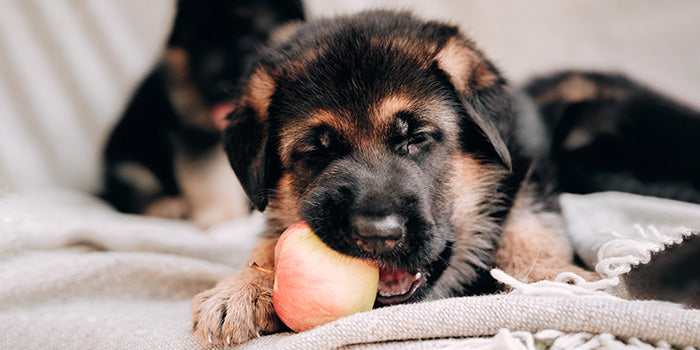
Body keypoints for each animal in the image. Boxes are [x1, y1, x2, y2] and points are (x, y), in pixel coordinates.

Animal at [100, 0, 304, 227]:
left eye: (245, 42)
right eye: (198, 48)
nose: (217, 87)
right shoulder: (196, 139)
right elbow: (208, 179)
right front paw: (220, 216)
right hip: (128, 166)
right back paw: (166, 207)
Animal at [190, 10, 592, 344]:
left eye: (417, 137)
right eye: (318, 151)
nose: (376, 236)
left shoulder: (528, 173)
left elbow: (528, 228)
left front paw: (556, 278)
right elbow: (269, 242)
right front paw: (243, 288)